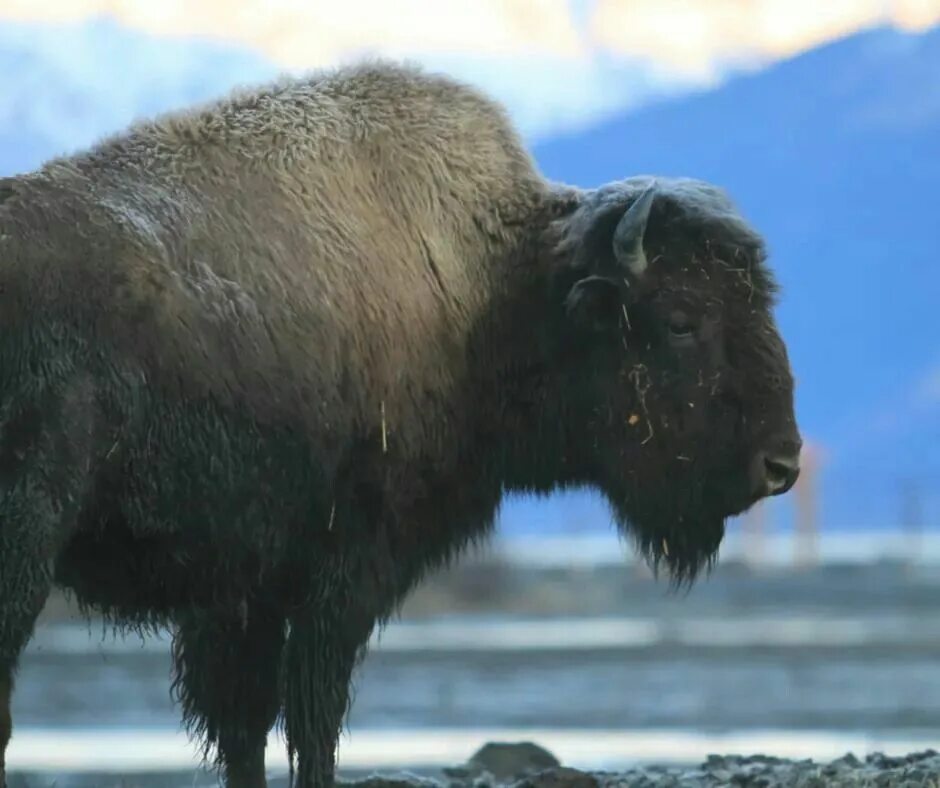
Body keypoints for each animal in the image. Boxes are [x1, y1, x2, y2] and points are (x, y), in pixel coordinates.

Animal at [1, 61, 800, 788]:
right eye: (681, 318)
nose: (782, 465)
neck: (496, 288)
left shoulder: (243, 590)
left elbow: (246, 727)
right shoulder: (342, 572)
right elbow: (311, 718)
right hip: (28, 545)